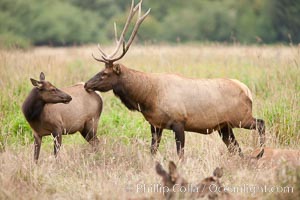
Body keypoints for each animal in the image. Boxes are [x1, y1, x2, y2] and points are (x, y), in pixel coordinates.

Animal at [84, 0, 264, 159]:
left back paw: (260, 152)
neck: (148, 97)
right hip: (224, 126)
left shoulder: (179, 122)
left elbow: (180, 153)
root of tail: (247, 90)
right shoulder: (156, 125)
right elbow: (153, 150)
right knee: (236, 148)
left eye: (104, 74)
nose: (86, 84)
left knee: (261, 123)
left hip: (241, 117)